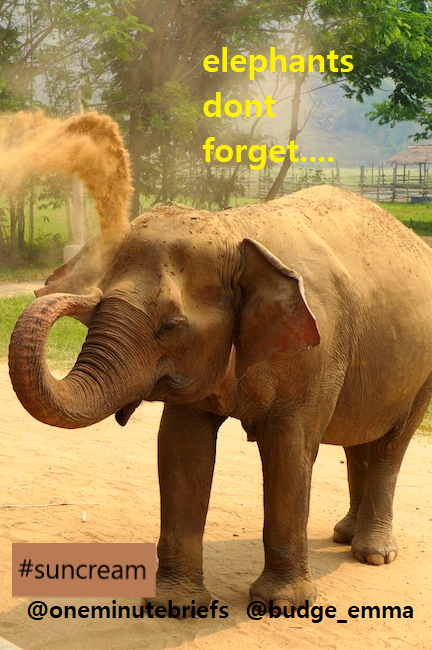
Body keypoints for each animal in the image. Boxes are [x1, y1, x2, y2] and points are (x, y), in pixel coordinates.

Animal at [8, 184, 432, 609]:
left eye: (171, 326)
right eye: (99, 303)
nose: (72, 294)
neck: (235, 231)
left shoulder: (315, 354)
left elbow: (289, 449)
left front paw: (282, 604)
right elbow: (181, 446)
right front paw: (176, 606)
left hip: (422, 375)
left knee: (389, 447)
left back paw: (373, 554)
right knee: (358, 442)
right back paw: (344, 534)